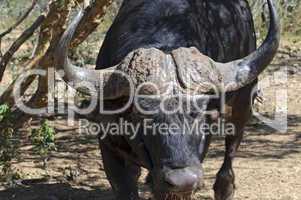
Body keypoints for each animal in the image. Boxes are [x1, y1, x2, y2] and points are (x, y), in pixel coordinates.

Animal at [54, 0, 278, 199]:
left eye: (199, 112)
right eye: (141, 115)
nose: (182, 179)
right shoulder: (109, 147)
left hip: (244, 101)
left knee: (232, 144)